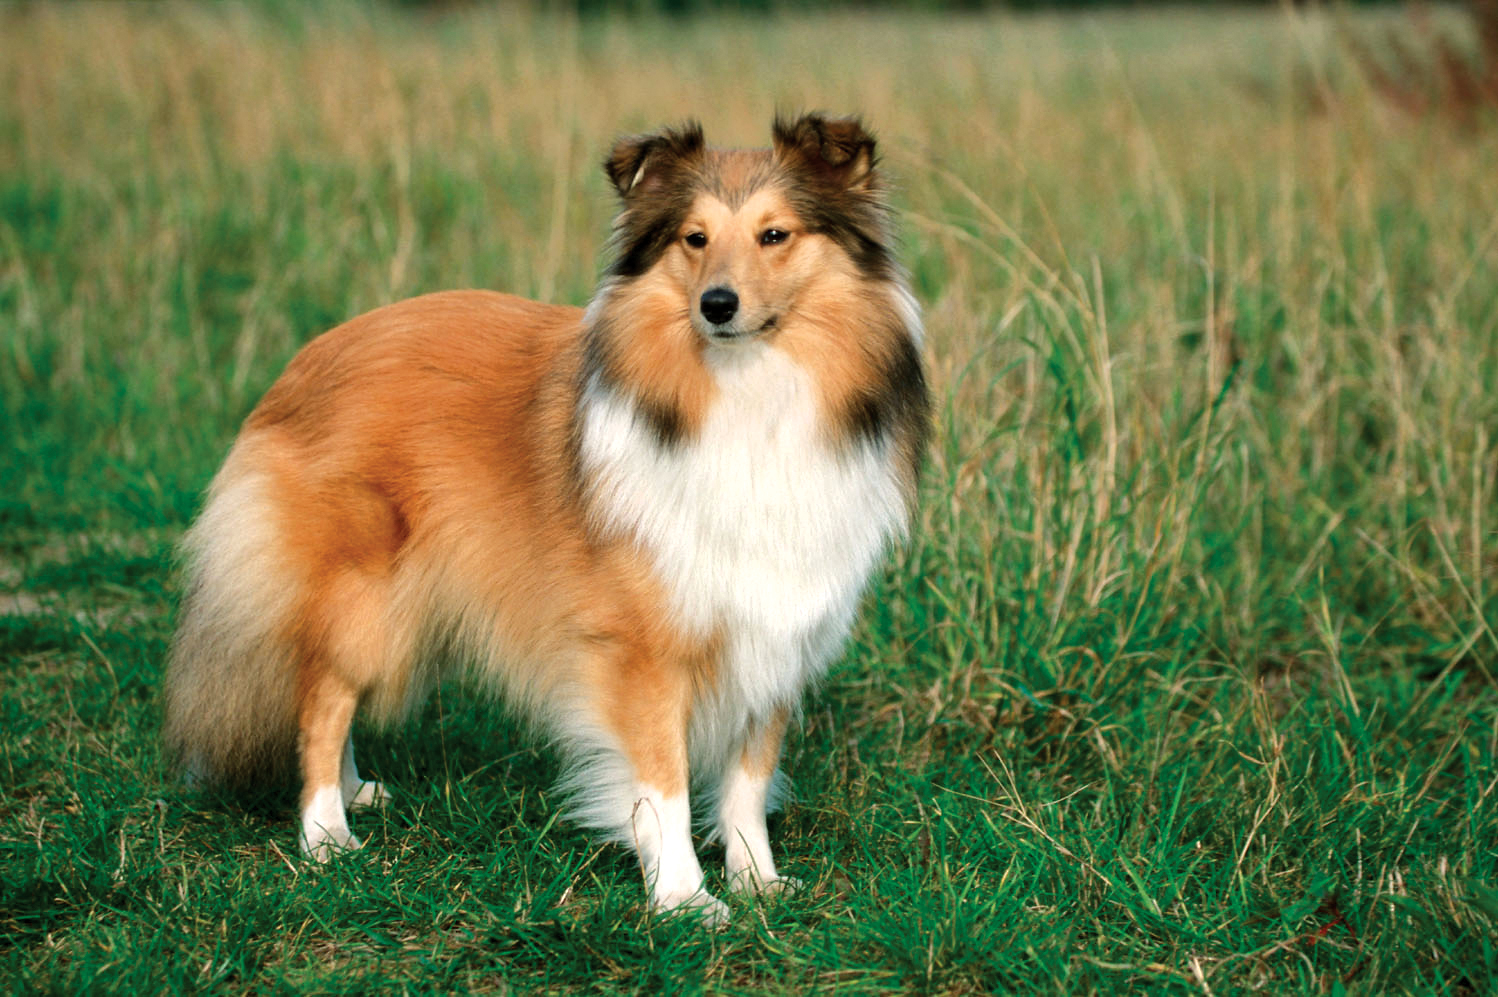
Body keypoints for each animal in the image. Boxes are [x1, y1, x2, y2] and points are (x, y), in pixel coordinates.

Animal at [170, 112, 928, 922]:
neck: (749, 395)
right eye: (693, 238)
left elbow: (748, 779)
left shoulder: (775, 625)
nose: (717, 305)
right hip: (364, 593)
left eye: (775, 234)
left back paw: (353, 791)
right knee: (321, 700)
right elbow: (664, 781)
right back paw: (325, 835)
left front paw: (758, 879)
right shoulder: (642, 651)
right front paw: (683, 897)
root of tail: (304, 361)